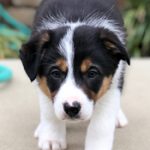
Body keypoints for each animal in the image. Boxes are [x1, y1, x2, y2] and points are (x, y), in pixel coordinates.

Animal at [19, 0, 130, 150]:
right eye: (55, 73)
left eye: (92, 73)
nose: (71, 108)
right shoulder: (42, 83)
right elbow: (49, 114)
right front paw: (52, 139)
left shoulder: (112, 84)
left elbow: (101, 124)